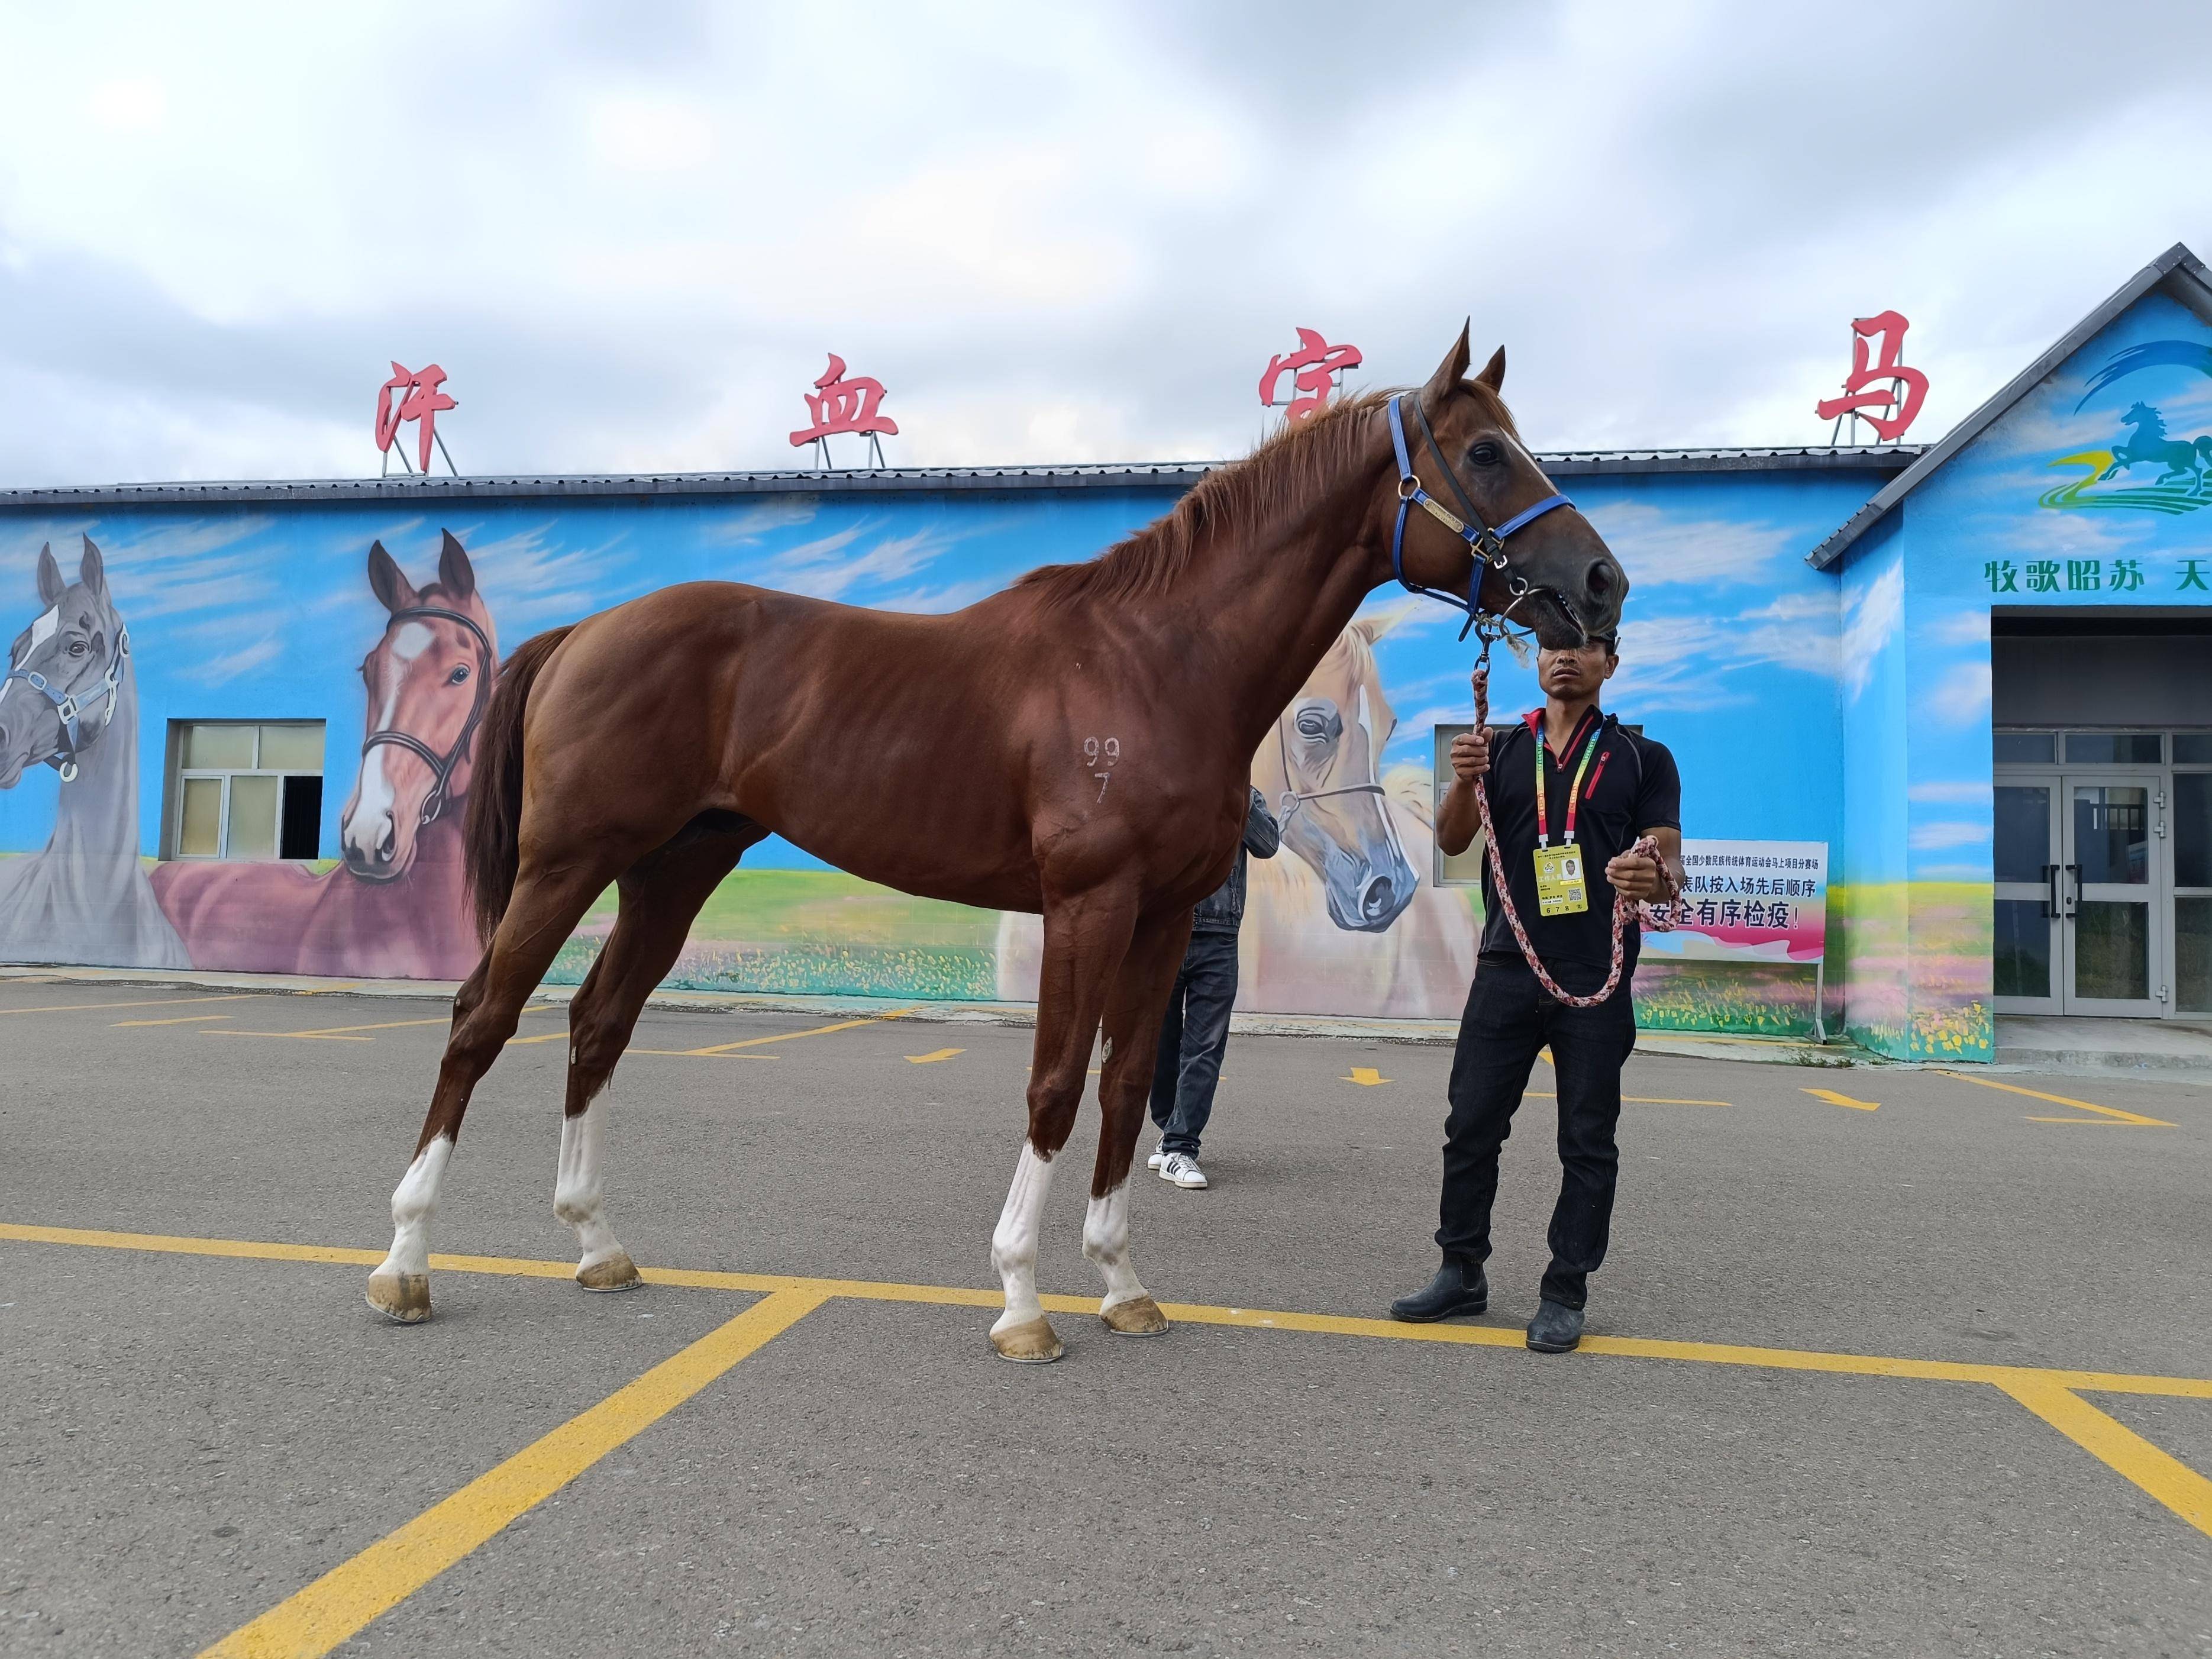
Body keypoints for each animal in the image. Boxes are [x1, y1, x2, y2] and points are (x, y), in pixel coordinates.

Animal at [367, 327, 1627, 1363]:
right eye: (1484, 453)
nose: (1600, 582)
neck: (1157, 660)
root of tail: (586, 628)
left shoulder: (1163, 915)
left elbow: (1124, 1080)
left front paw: (1121, 1284)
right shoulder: (1087, 902)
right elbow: (1056, 1083)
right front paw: (1022, 1300)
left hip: (671, 872)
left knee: (597, 1023)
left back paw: (596, 1247)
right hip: (566, 864)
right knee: (481, 1018)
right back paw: (405, 1264)